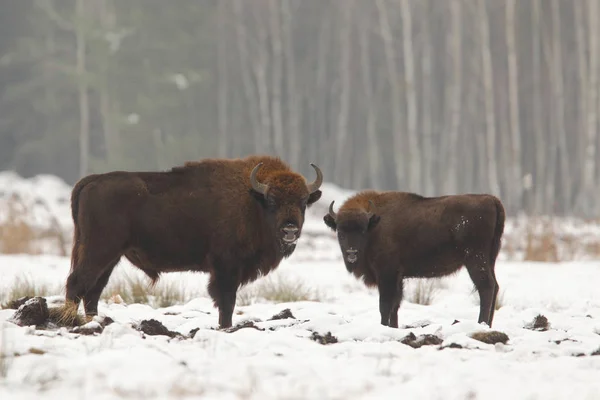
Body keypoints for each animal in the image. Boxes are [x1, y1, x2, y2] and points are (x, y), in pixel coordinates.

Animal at [61, 155, 324, 326]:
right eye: (272, 201)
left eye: (303, 201)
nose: (289, 230)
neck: (252, 200)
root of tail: (91, 181)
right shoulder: (226, 268)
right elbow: (226, 301)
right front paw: (225, 327)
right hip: (99, 250)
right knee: (77, 283)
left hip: (110, 257)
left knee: (93, 291)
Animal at [324, 191, 506, 328]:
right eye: (340, 231)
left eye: (362, 230)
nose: (351, 252)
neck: (374, 226)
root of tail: (491, 200)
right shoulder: (398, 277)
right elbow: (395, 305)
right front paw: (393, 327)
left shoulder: (387, 274)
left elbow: (385, 305)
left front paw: (384, 326)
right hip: (490, 259)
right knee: (495, 286)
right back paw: (488, 325)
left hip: (475, 259)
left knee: (486, 287)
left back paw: (482, 324)